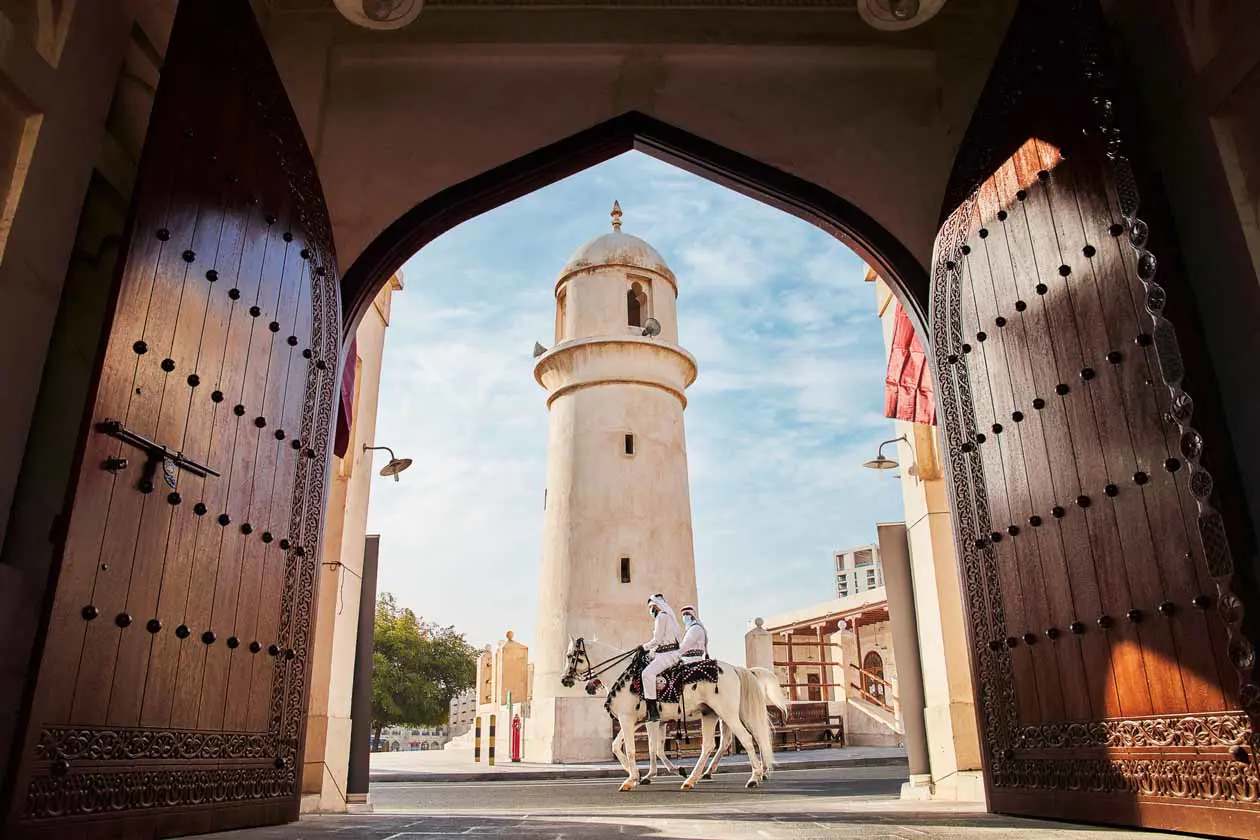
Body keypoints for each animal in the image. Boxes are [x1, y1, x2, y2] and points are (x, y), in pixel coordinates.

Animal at [564, 639, 781, 790]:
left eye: (570, 656)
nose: (564, 679)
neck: (624, 676)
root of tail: (735, 668)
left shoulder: (630, 720)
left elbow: (638, 749)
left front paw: (633, 779)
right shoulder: (639, 721)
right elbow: (620, 746)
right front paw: (636, 774)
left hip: (728, 714)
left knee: (747, 739)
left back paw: (754, 777)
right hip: (710, 714)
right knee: (710, 746)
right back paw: (693, 778)